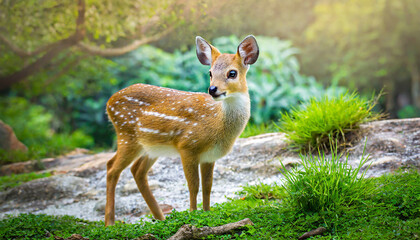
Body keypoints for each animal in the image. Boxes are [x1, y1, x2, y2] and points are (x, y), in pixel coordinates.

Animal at [104, 34, 260, 226]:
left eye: (232, 73)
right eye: (210, 73)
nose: (212, 90)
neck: (217, 124)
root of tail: (109, 102)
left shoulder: (209, 156)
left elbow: (208, 186)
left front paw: (207, 213)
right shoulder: (187, 146)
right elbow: (193, 185)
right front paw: (193, 214)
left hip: (151, 146)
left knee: (137, 171)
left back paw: (160, 218)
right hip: (127, 135)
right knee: (112, 168)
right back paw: (110, 223)